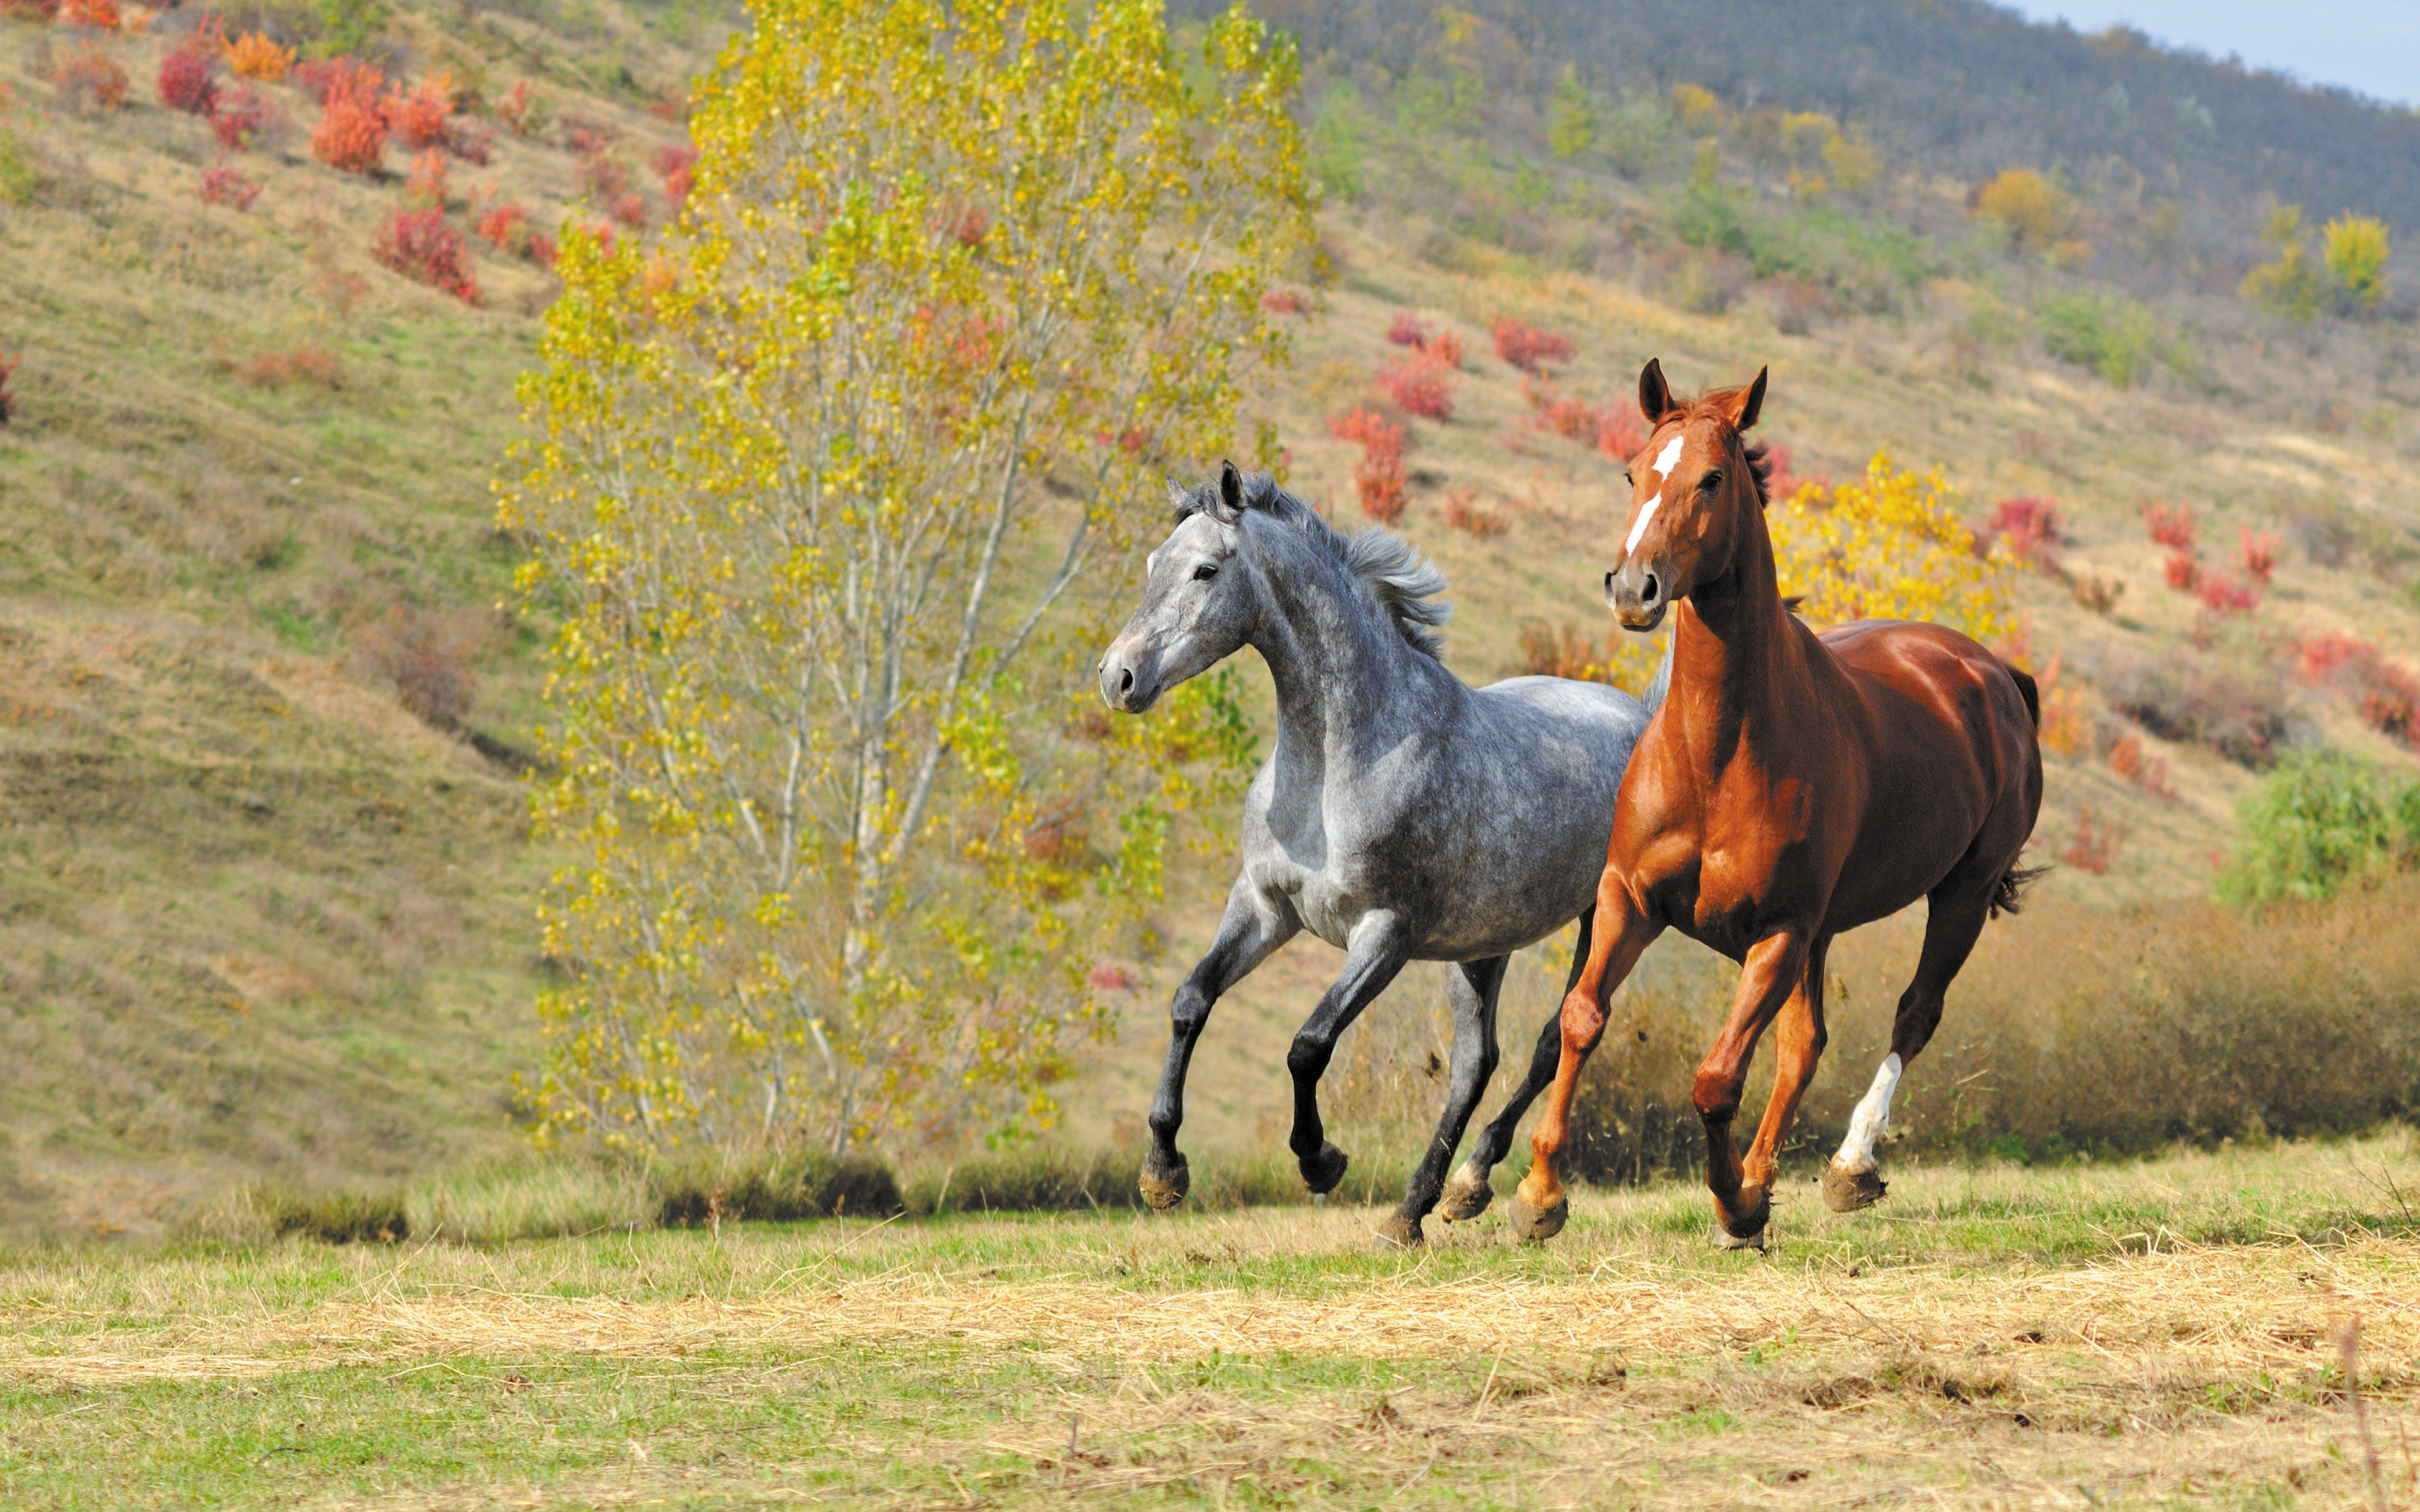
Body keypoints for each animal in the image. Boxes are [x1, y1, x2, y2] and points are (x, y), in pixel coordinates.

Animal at [1103, 466, 1655, 1248]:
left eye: (1206, 570)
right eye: (1154, 563)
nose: (1117, 678)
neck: (1340, 761)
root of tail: (1643, 713)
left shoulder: (1385, 933)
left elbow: (1308, 1044)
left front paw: (1320, 1161)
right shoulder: (1264, 906)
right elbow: (1190, 1001)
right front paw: (1163, 1172)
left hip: (1606, 922)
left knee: (1557, 1041)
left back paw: (1498, 1196)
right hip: (1481, 946)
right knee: (1475, 1063)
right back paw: (1427, 1205)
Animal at [1510, 360, 2042, 1248]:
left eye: (1712, 479)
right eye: (1633, 471)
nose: (1633, 588)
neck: (1717, 755)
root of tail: (1995, 673)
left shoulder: (1780, 930)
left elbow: (1718, 1077)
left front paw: (1733, 1203)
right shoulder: (1631, 897)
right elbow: (1582, 1017)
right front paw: (1538, 1195)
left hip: (1958, 897)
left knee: (1912, 1016)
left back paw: (1847, 1168)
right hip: (1823, 934)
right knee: (1804, 1045)